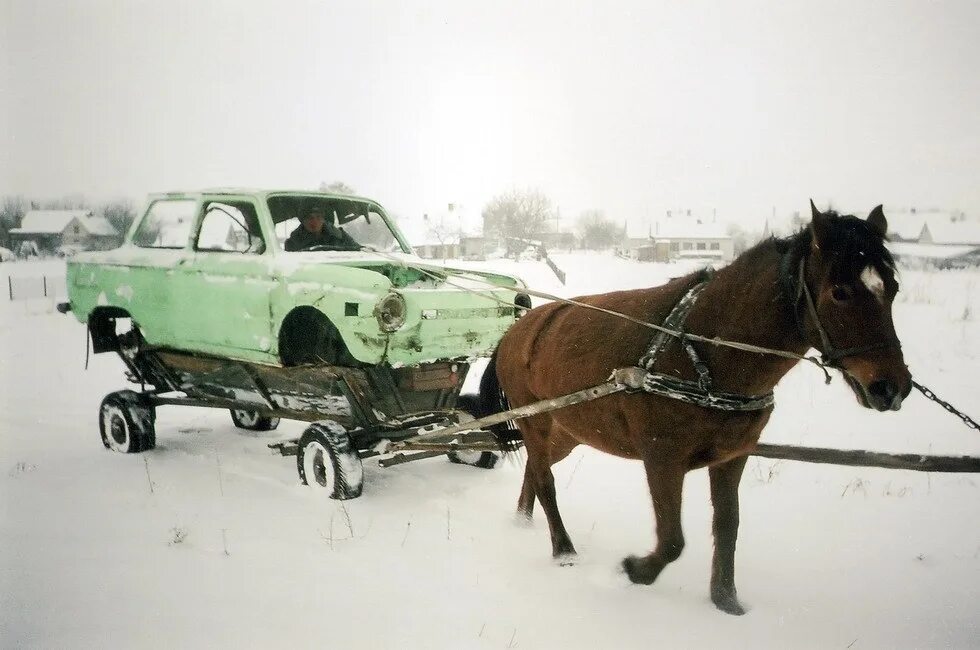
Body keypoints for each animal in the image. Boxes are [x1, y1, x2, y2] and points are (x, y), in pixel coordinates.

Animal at [474, 201, 912, 612]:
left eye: (892, 288)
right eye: (840, 292)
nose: (892, 388)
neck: (703, 350)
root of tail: (519, 327)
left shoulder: (732, 457)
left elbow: (728, 527)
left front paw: (727, 601)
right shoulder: (662, 457)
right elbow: (672, 540)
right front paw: (635, 570)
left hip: (570, 429)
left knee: (536, 469)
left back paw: (523, 521)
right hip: (535, 421)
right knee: (545, 479)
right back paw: (563, 549)